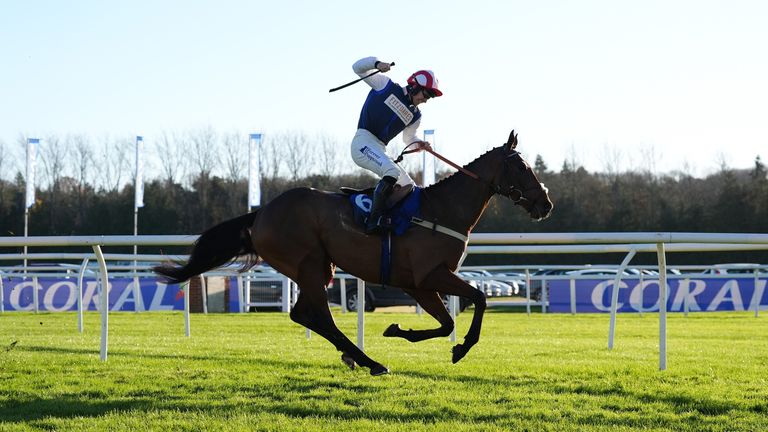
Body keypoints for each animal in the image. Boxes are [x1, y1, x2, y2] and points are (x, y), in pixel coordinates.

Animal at [154, 128, 552, 374]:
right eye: (521, 165)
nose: (545, 204)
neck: (441, 210)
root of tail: (261, 213)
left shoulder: (417, 285)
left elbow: (448, 321)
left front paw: (401, 330)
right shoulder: (431, 275)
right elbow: (477, 301)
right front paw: (461, 347)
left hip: (318, 268)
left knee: (304, 315)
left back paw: (355, 355)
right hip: (309, 264)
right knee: (318, 317)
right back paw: (370, 361)